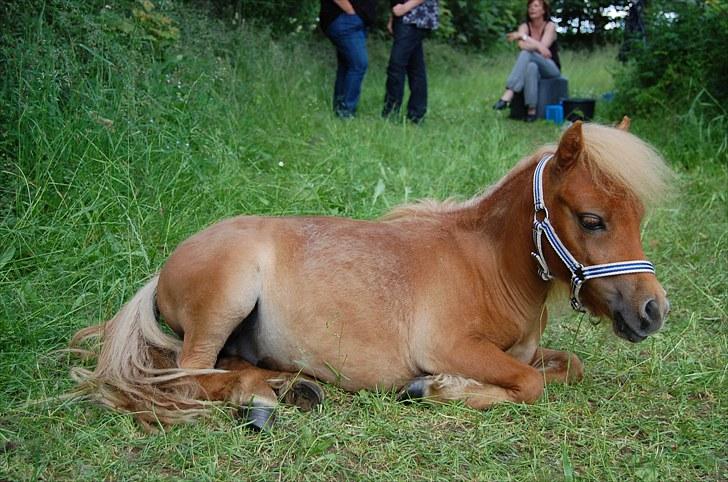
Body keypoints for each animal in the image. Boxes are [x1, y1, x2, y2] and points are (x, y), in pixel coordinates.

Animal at [68, 119, 672, 430]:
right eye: (592, 220)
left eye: (640, 215)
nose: (653, 311)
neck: (487, 268)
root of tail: (164, 268)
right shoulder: (452, 346)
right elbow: (529, 384)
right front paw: (435, 389)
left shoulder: (525, 351)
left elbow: (567, 367)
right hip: (225, 301)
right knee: (189, 372)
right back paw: (263, 397)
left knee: (225, 365)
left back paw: (282, 389)